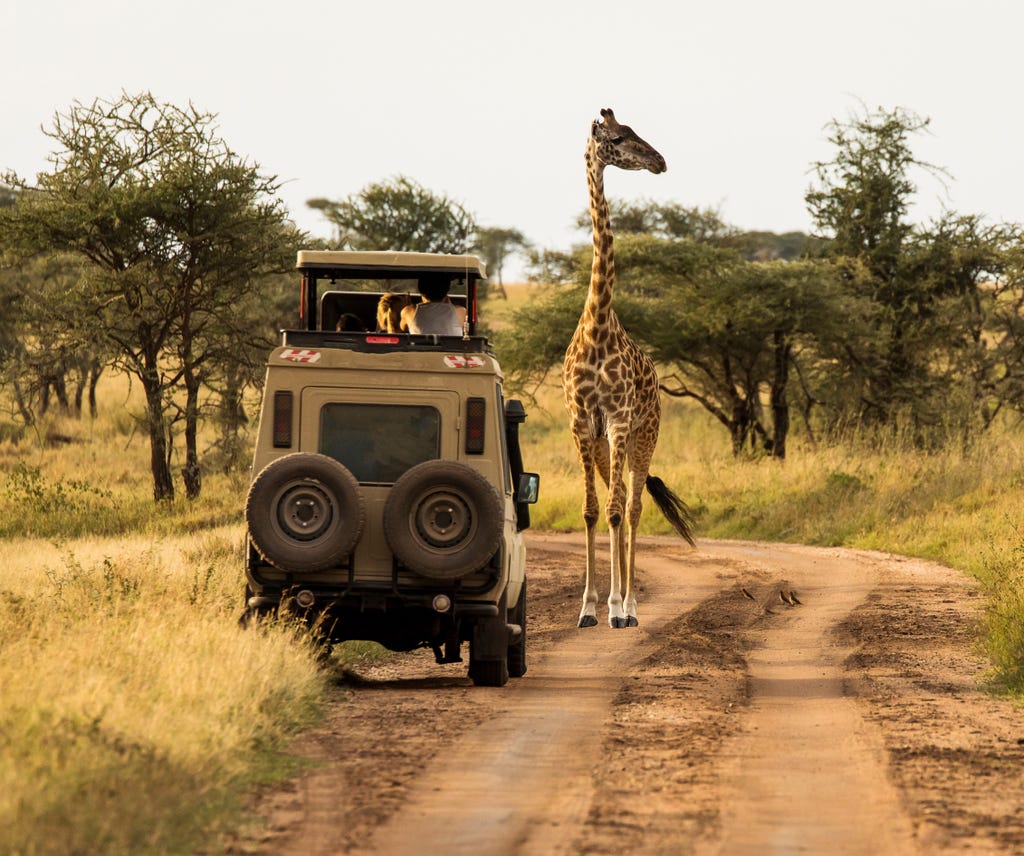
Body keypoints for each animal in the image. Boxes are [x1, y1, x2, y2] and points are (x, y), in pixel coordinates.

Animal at [561, 106, 696, 626]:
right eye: (618, 138)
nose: (660, 161)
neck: (598, 325)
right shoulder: (583, 424)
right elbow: (591, 510)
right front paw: (588, 609)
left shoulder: (619, 421)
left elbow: (619, 510)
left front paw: (617, 607)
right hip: (605, 445)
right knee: (615, 501)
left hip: (645, 435)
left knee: (634, 506)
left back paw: (632, 604)